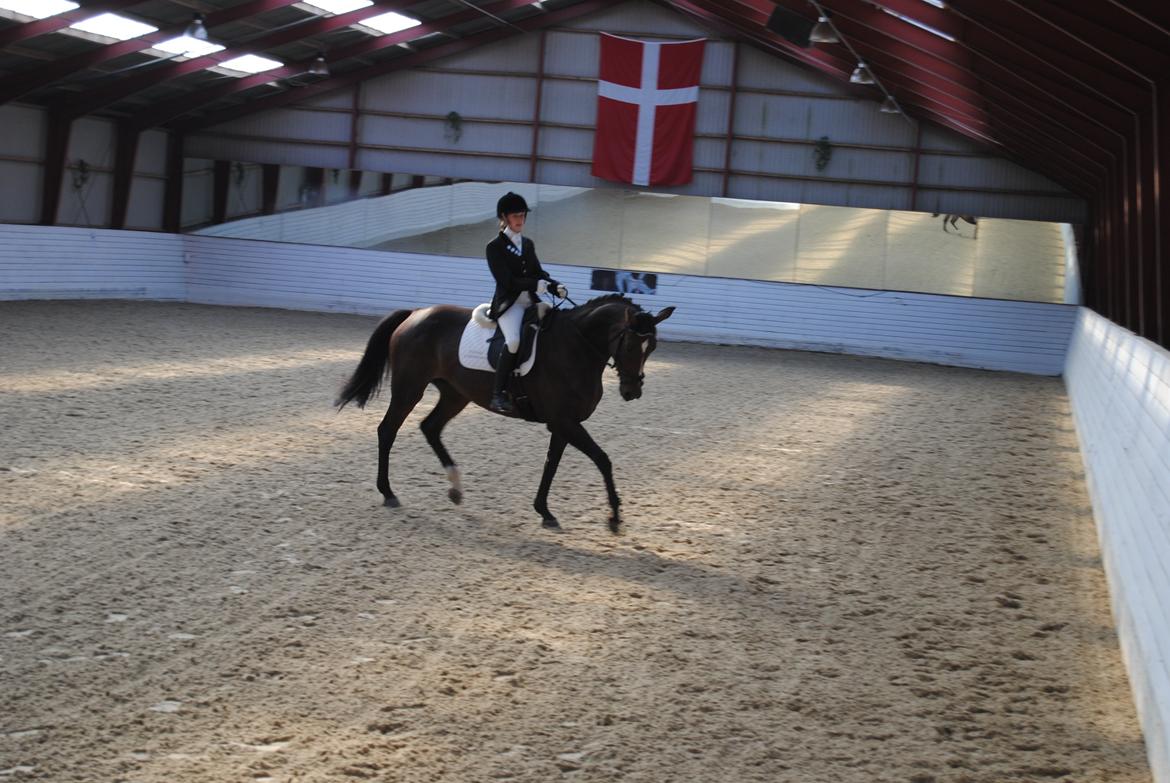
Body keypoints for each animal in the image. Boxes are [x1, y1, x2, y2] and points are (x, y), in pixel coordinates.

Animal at [334, 296, 673, 533]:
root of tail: (416, 313)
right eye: (629, 345)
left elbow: (551, 464)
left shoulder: (563, 423)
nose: (632, 391)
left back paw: (455, 488)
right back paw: (388, 492)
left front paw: (544, 511)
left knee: (430, 427)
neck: (576, 347)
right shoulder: (564, 422)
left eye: (653, 347)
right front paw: (614, 517)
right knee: (388, 430)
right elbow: (602, 459)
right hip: (409, 388)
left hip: (455, 394)